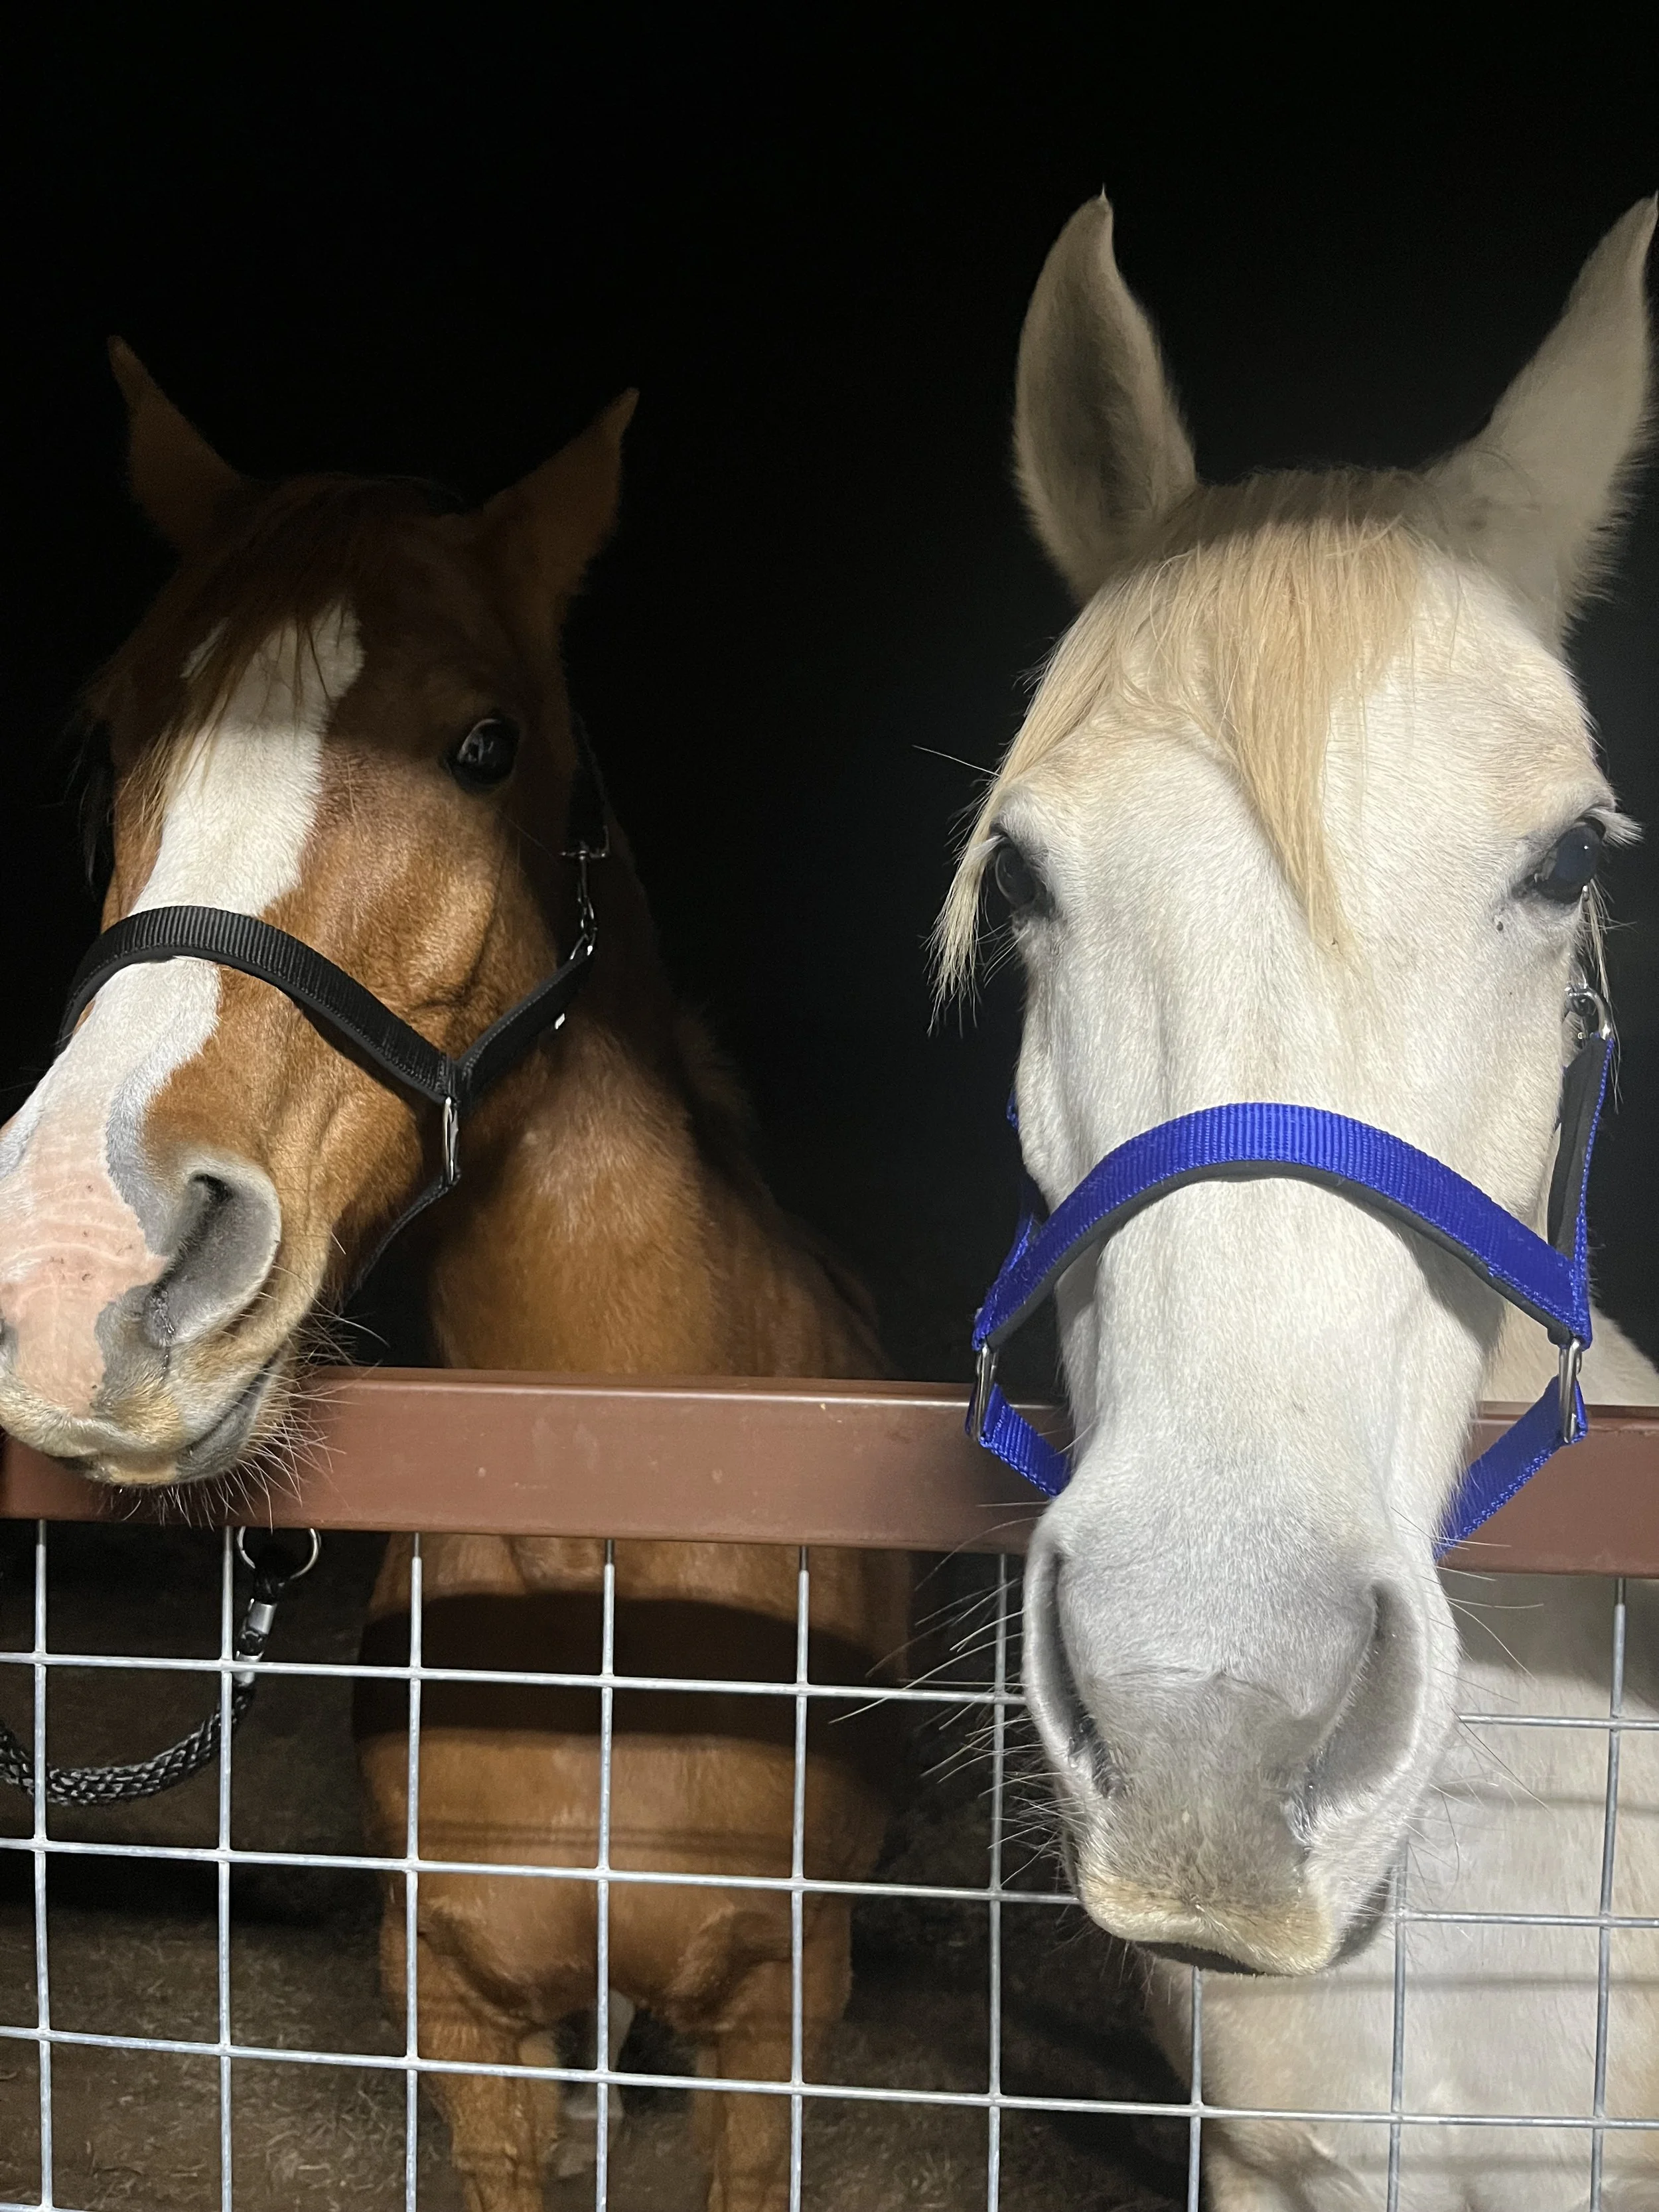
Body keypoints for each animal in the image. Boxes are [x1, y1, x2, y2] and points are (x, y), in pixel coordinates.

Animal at [0, 350, 909, 2212]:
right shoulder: (468, 2010)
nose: (79, 1270)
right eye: (112, 737)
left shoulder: (774, 2024)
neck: (606, 1560)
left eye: (484, 745)